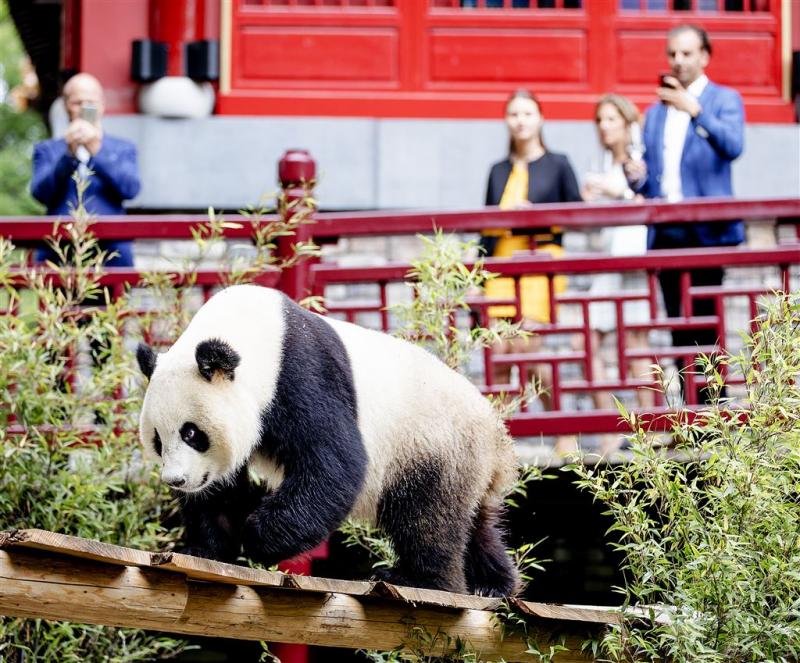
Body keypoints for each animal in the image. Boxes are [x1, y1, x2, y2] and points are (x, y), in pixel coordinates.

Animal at [139, 284, 520, 596]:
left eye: (191, 433)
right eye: (157, 439)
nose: (177, 480)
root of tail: (497, 439)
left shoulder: (299, 374)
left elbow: (335, 464)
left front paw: (257, 537)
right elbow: (220, 491)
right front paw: (205, 549)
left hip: (432, 444)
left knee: (428, 517)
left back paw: (422, 580)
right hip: (464, 461)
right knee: (477, 523)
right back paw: (493, 584)